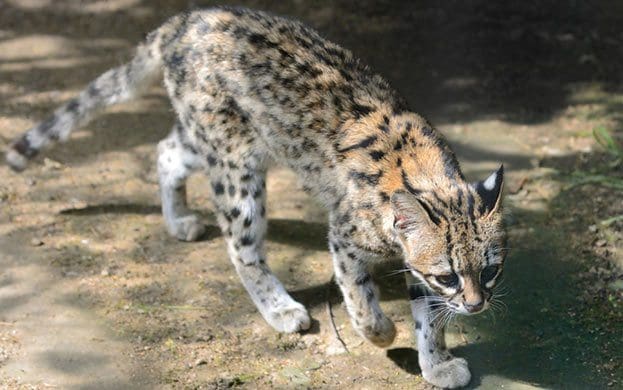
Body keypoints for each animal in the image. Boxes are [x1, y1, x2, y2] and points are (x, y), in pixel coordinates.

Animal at [6, 6, 508, 390]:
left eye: (490, 270)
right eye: (447, 276)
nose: (476, 305)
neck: (429, 176)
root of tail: (186, 20)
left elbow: (429, 318)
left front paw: (436, 363)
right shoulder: (345, 238)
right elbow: (360, 297)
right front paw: (382, 333)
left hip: (213, 142)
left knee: (167, 150)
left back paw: (177, 218)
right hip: (236, 169)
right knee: (240, 246)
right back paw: (279, 307)